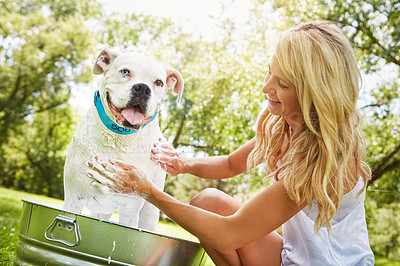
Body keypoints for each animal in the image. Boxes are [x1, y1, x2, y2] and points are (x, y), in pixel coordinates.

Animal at [63, 48, 184, 232]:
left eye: (158, 82)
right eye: (125, 72)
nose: (142, 88)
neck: (119, 137)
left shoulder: (130, 211)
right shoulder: (73, 199)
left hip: (150, 212)